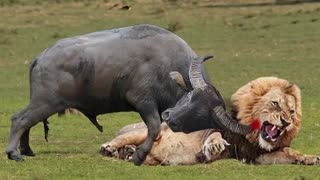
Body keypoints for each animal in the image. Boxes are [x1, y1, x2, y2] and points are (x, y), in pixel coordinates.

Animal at [4, 24, 250, 165]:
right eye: (189, 97)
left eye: (201, 116)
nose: (171, 117)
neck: (167, 64)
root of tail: (41, 57)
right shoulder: (143, 101)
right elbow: (153, 127)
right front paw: (138, 156)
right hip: (45, 102)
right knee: (20, 119)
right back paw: (14, 153)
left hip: (43, 103)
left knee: (27, 122)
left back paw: (27, 150)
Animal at [100, 76, 320, 165]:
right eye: (275, 103)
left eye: (292, 112)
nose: (287, 122)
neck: (252, 136)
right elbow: (214, 134)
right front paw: (213, 147)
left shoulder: (256, 155)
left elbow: (290, 153)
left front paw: (309, 158)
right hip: (141, 132)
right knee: (118, 141)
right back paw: (110, 148)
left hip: (154, 158)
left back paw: (128, 154)